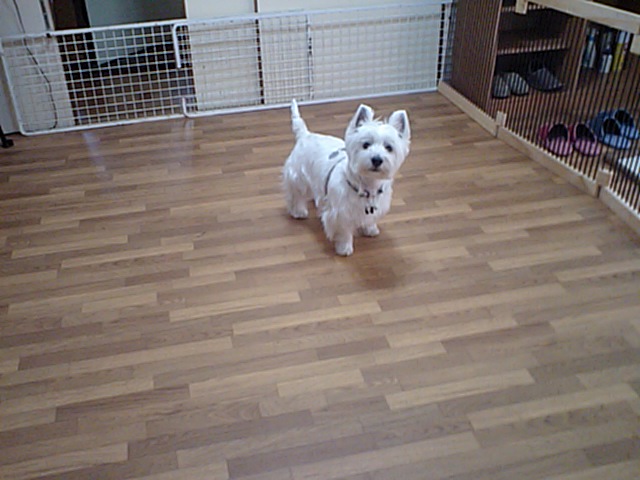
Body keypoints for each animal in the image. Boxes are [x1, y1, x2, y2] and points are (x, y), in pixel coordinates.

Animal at [282, 100, 410, 256]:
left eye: (389, 147)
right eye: (366, 144)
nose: (377, 159)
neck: (367, 186)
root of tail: (305, 135)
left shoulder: (375, 206)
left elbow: (370, 220)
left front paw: (370, 230)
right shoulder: (340, 214)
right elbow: (344, 232)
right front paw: (344, 248)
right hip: (297, 176)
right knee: (297, 194)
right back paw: (299, 211)